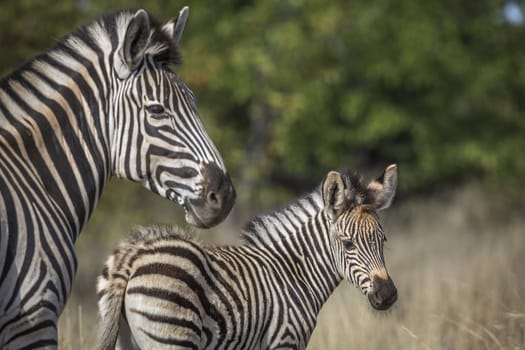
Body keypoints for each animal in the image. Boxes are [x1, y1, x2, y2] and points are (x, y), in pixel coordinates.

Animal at [97, 165, 398, 350]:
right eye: (348, 244)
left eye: (383, 240)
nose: (387, 295)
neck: (296, 273)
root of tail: (134, 254)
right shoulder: (284, 339)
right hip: (172, 334)